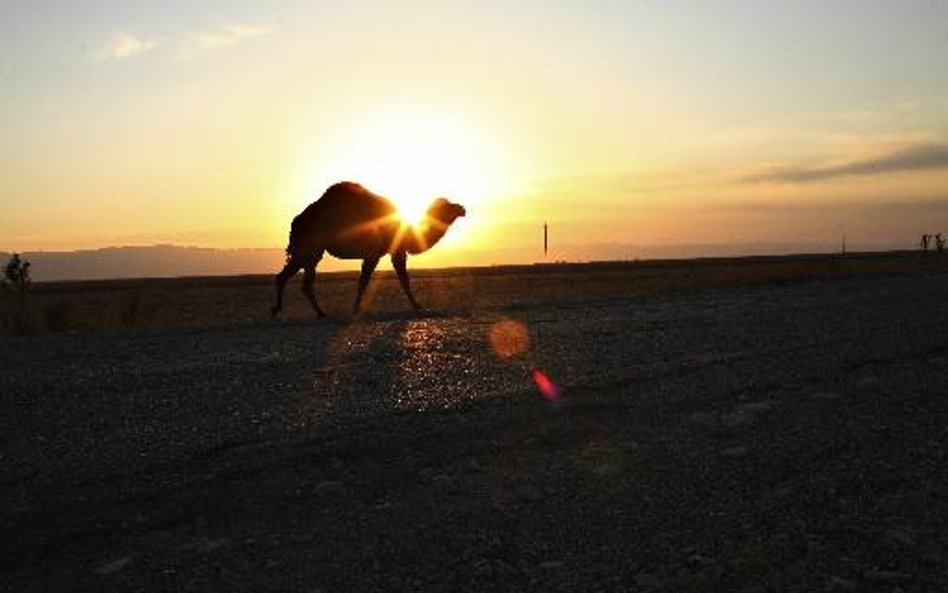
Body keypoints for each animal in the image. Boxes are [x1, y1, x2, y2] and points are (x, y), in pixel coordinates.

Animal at [270, 180, 466, 316]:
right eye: (447, 206)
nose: (462, 208)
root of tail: (296, 221)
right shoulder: (383, 252)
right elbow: (397, 279)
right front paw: (417, 305)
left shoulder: (376, 254)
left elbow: (365, 280)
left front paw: (356, 308)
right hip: (309, 248)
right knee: (296, 279)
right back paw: (293, 311)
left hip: (311, 252)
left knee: (295, 279)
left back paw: (309, 312)